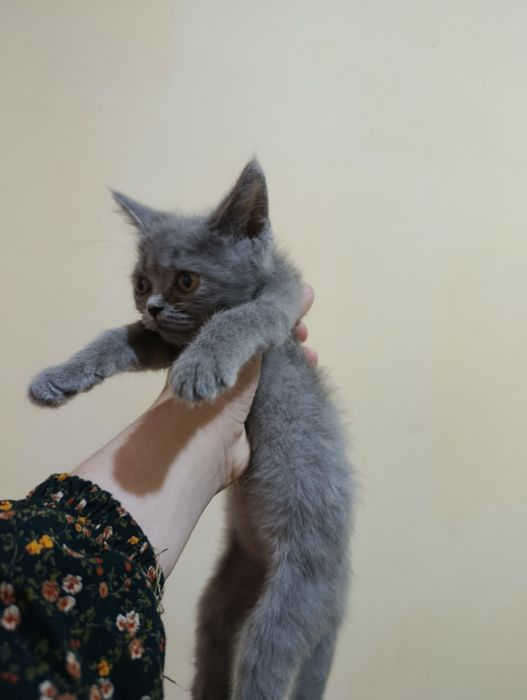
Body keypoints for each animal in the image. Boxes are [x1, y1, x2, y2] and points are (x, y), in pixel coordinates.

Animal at [29, 160, 353, 700]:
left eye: (185, 280)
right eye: (141, 283)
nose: (154, 306)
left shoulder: (279, 305)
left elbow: (237, 317)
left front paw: (200, 367)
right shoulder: (162, 339)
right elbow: (119, 337)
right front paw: (58, 377)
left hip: (295, 595)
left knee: (264, 660)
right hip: (228, 585)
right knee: (215, 630)